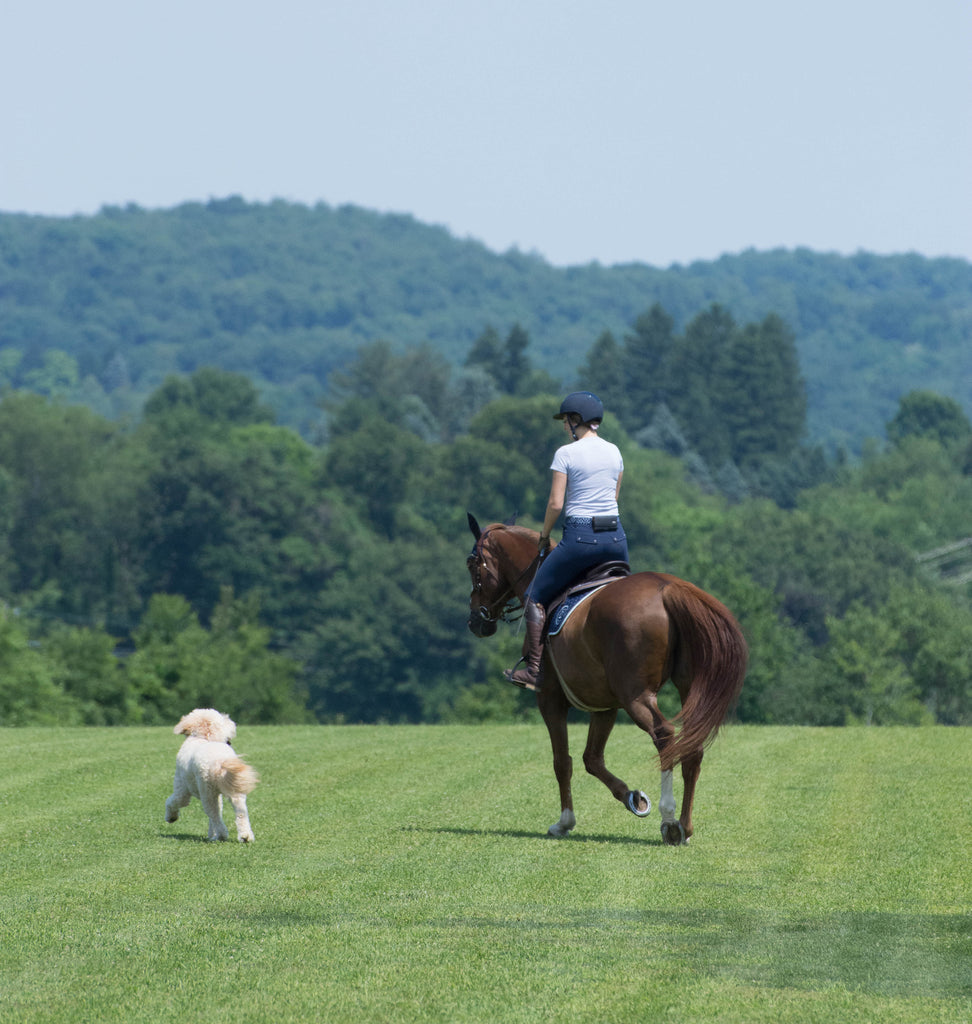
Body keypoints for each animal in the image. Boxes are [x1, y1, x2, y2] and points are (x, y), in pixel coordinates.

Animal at [164, 708, 260, 843]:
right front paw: (211, 833)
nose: (233, 723)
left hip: (207, 792)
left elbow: (172, 801)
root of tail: (219, 761)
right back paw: (245, 836)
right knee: (240, 813)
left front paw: (171, 817)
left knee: (214, 814)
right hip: (234, 791)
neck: (204, 736)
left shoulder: (182, 789)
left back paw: (221, 835)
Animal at [467, 516, 745, 843]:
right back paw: (686, 826)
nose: (475, 622)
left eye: (472, 565)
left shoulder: (549, 698)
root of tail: (667, 588)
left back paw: (669, 819)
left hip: (635, 695)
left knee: (664, 735)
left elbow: (563, 761)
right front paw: (633, 798)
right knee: (691, 744)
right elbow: (592, 759)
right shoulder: (604, 706)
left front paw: (565, 822)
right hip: (686, 687)